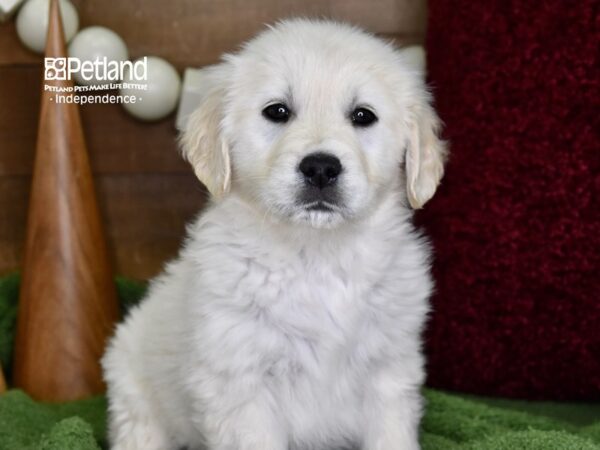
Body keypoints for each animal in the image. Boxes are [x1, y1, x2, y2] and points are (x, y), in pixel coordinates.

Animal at [103, 18, 448, 450]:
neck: (316, 252)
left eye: (363, 116)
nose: (321, 168)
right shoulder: (241, 379)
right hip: (134, 393)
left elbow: (391, 436)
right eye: (277, 111)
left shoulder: (388, 367)